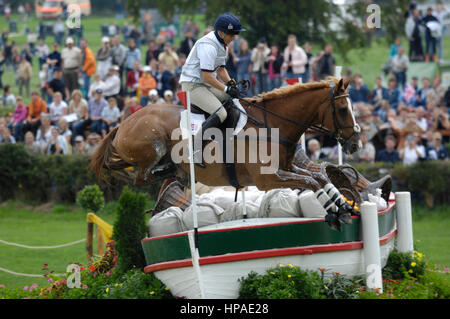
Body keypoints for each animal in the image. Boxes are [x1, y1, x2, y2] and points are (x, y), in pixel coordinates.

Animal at [90, 78, 362, 230]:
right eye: (341, 109)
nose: (355, 144)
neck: (272, 125)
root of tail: (121, 124)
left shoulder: (287, 169)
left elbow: (319, 178)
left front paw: (343, 207)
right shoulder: (267, 179)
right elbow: (311, 181)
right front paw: (336, 214)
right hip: (151, 142)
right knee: (141, 177)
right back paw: (172, 171)